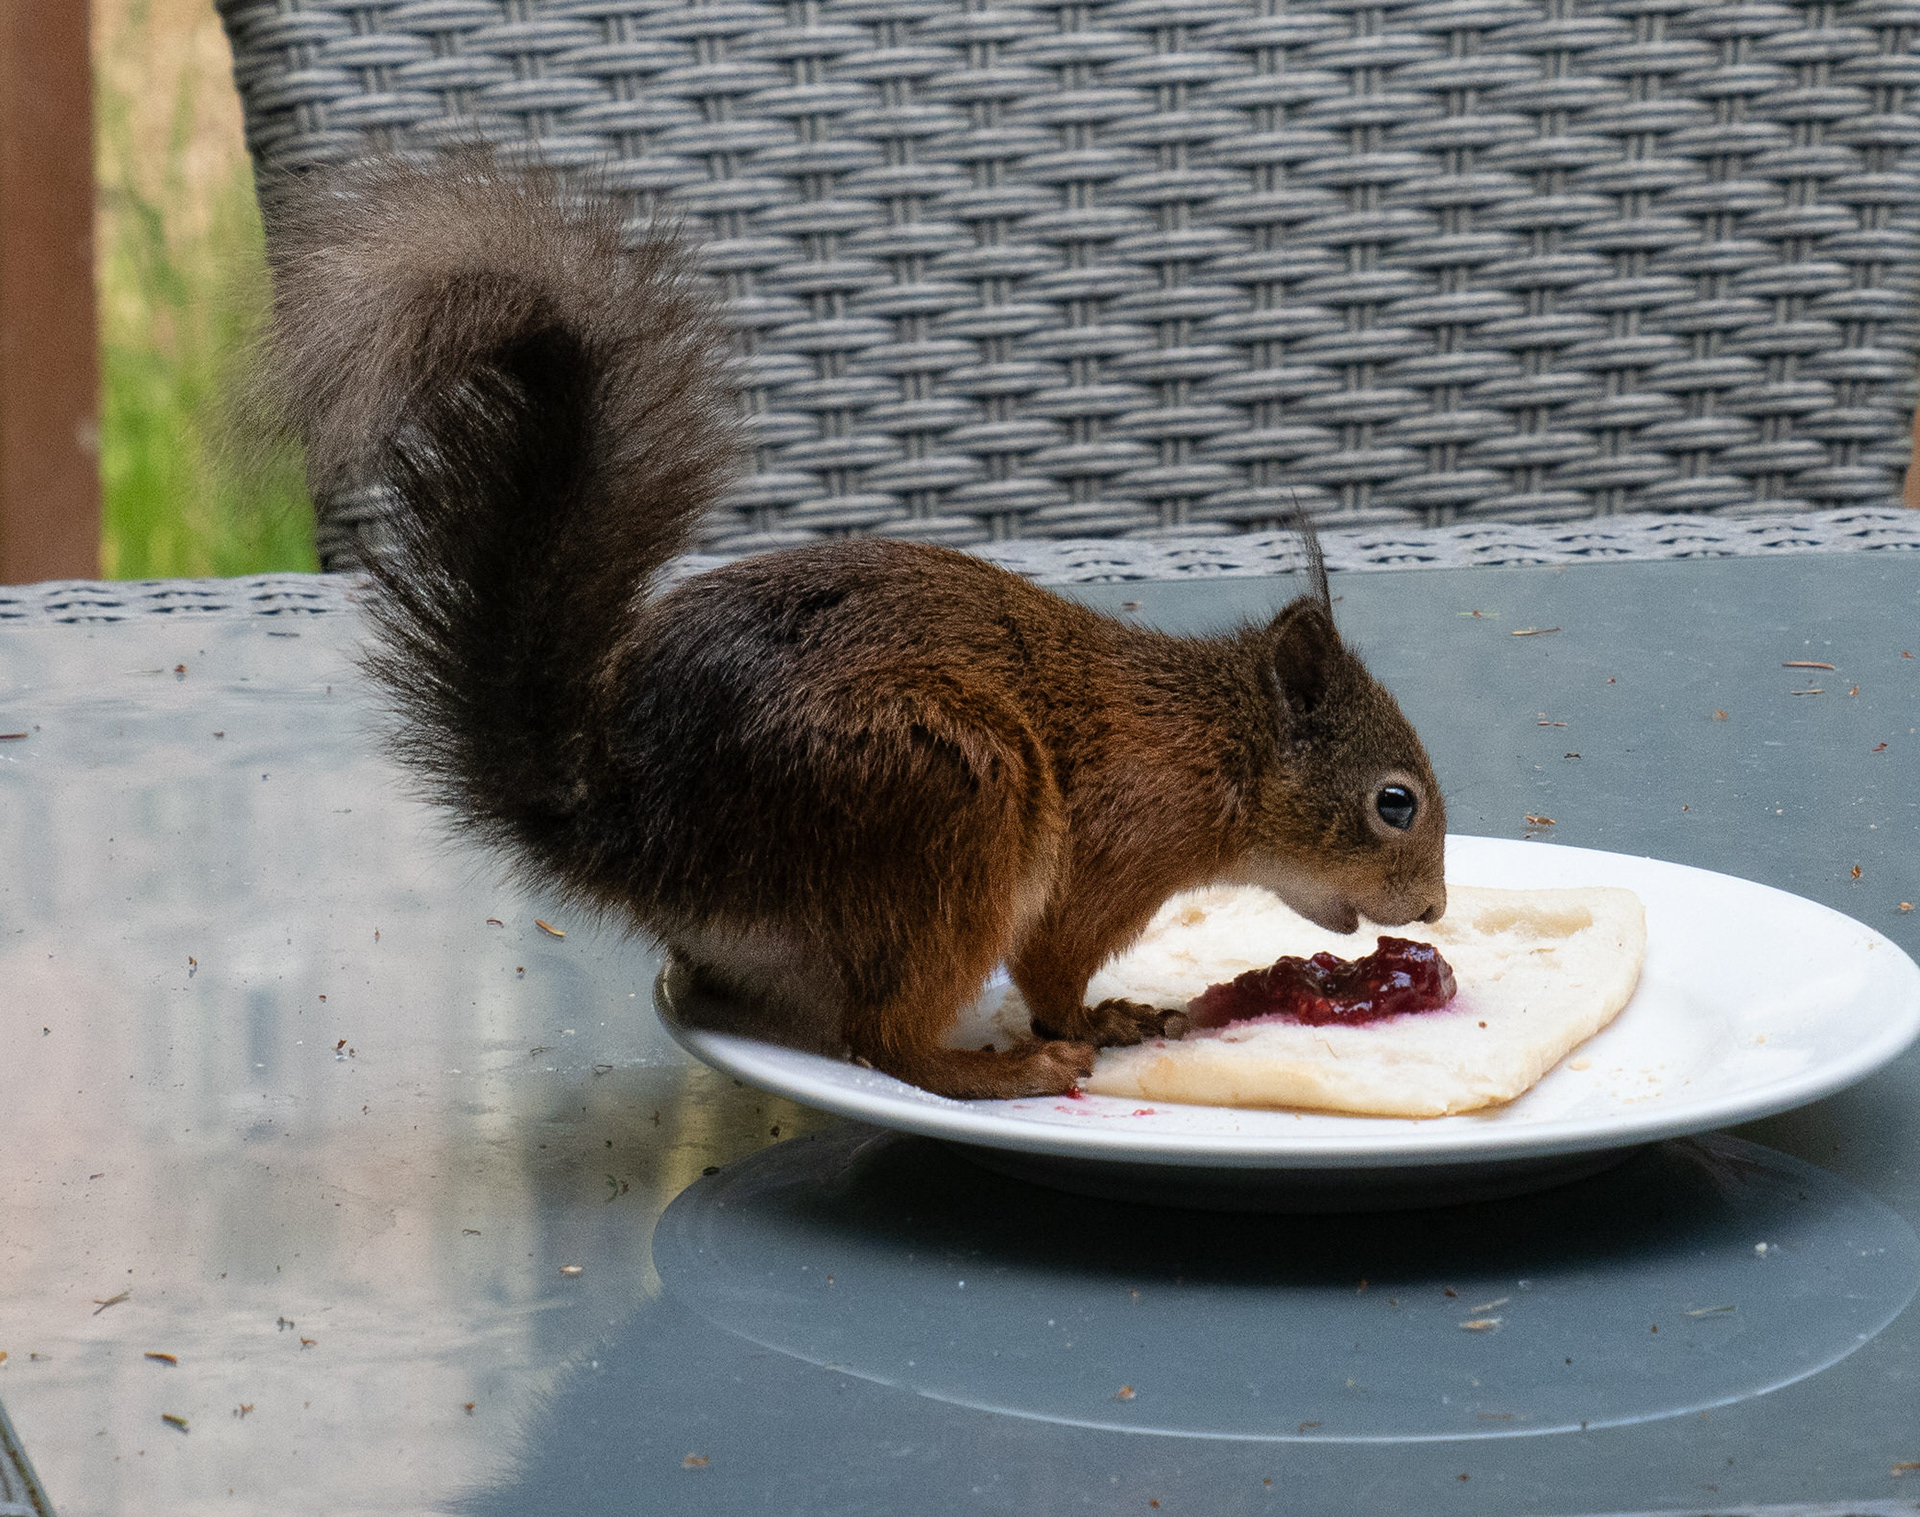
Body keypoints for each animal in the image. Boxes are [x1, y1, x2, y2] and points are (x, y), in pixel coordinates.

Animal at [259, 153, 1448, 1101]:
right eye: (1394, 802)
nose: (1434, 909)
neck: (1214, 744)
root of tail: (643, 836)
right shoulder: (1112, 852)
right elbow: (1055, 968)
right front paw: (1099, 1021)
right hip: (950, 801)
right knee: (886, 1037)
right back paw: (1002, 1072)